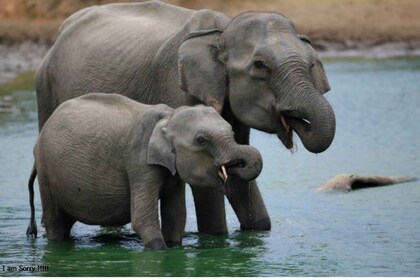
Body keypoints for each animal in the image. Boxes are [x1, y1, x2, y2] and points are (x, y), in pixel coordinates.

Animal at [26, 93, 262, 248]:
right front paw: (160, 251)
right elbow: (141, 220)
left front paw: (174, 248)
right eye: (201, 140)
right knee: (55, 224)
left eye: (232, 132)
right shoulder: (139, 162)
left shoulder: (171, 169)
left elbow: (176, 215)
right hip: (46, 173)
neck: (169, 116)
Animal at [37, 0, 338, 234]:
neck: (222, 30)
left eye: (311, 64)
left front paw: (257, 230)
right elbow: (205, 179)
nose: (293, 120)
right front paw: (217, 239)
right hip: (46, 89)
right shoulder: (177, 87)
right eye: (260, 65)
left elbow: (237, 167)